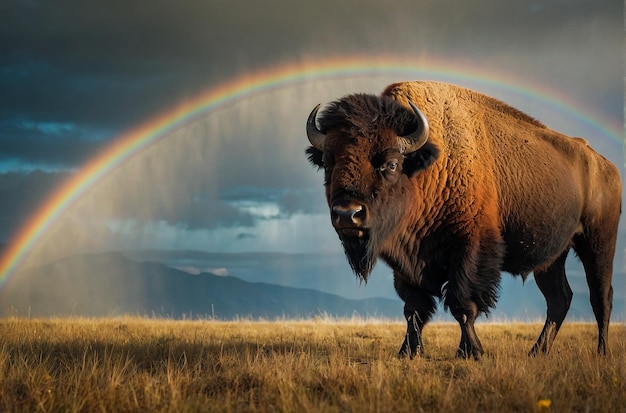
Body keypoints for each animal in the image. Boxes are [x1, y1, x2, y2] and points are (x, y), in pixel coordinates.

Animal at [304, 79, 620, 358]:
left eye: (391, 164)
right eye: (328, 163)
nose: (348, 214)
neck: (428, 166)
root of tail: (606, 165)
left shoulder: (471, 250)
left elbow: (462, 305)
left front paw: (471, 351)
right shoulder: (406, 261)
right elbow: (413, 308)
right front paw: (408, 352)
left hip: (598, 241)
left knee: (600, 295)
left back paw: (602, 353)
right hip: (553, 257)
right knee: (559, 298)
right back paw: (536, 352)